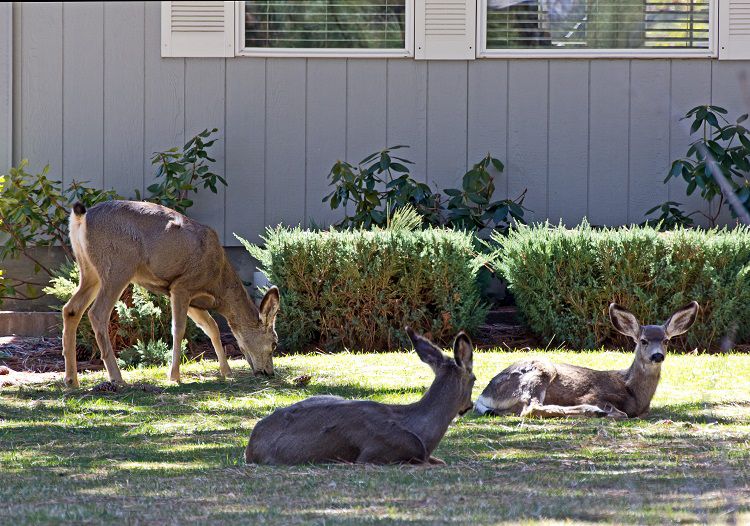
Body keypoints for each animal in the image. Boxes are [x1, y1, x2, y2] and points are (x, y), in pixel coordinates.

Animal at [61, 201, 282, 388]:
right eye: (274, 343)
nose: (268, 372)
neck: (219, 286)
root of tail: (82, 218)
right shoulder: (182, 286)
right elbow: (179, 329)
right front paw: (174, 376)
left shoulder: (191, 298)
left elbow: (211, 327)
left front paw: (226, 372)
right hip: (118, 265)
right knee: (97, 313)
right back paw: (117, 378)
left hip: (89, 270)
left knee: (71, 309)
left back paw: (72, 380)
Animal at [476, 302, 700, 420]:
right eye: (643, 341)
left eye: (666, 340)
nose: (657, 355)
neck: (635, 393)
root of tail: (484, 395)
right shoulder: (594, 394)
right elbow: (620, 413)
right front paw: (605, 410)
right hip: (540, 370)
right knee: (531, 408)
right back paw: (592, 411)